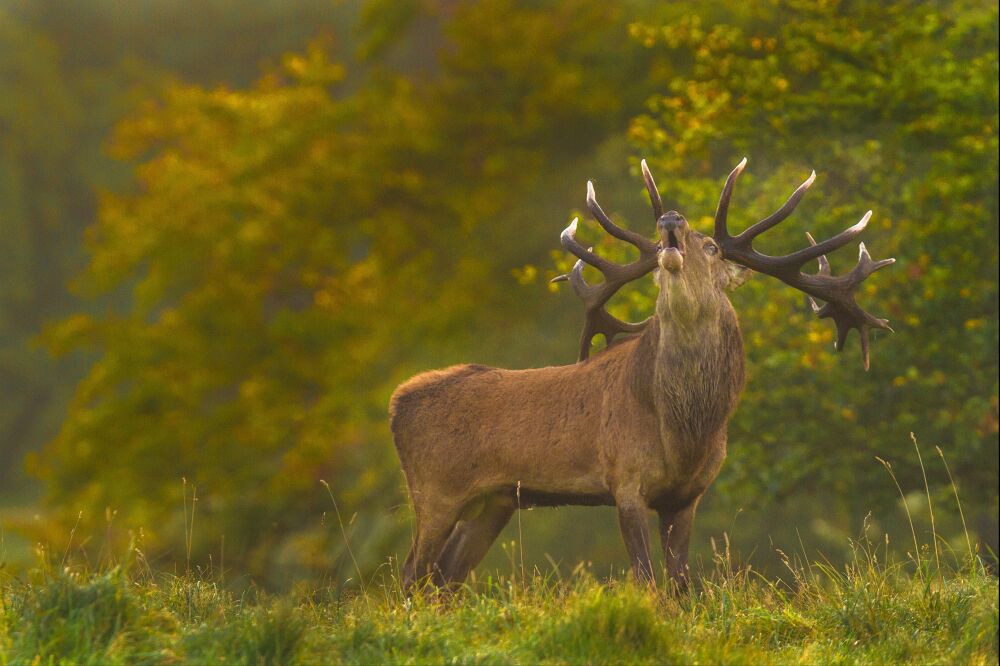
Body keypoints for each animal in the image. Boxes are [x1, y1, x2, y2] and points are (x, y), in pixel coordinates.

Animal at [386, 158, 896, 588]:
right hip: (434, 489)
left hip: (492, 504)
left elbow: (681, 585)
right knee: (412, 575)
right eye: (654, 251)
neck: (685, 433)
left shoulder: (688, 495)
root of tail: (395, 402)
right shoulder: (624, 477)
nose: (670, 220)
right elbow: (648, 581)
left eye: (712, 247)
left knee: (445, 579)